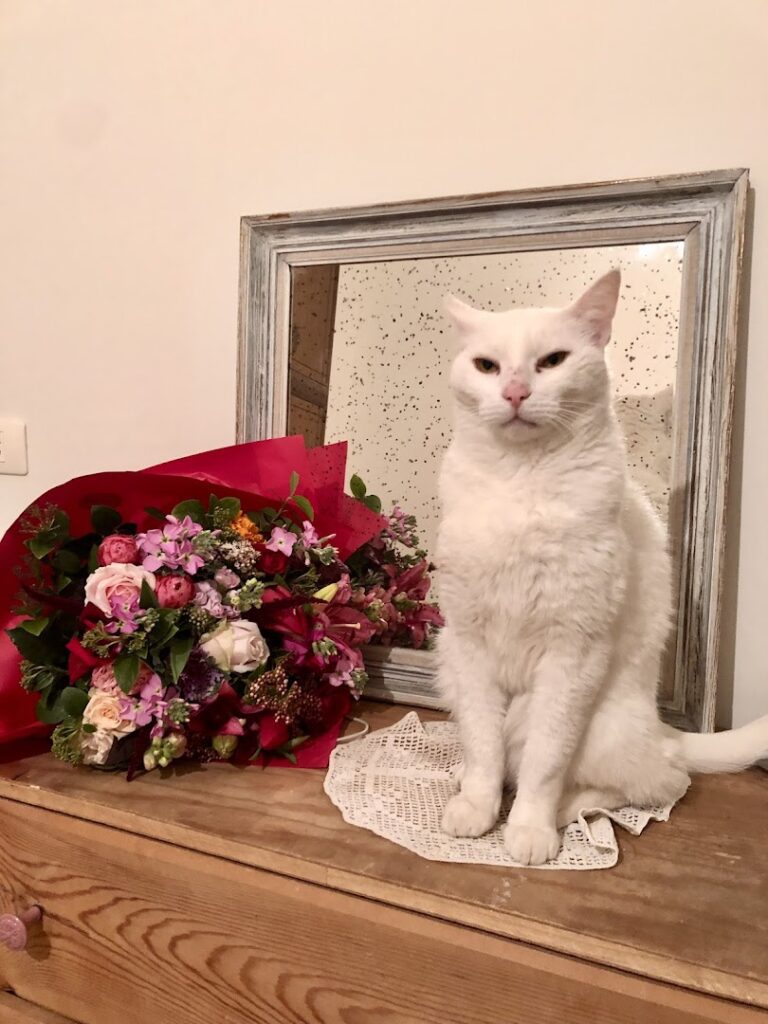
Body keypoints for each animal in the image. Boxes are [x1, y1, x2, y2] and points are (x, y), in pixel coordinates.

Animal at [436, 270, 768, 864]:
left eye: (552, 361)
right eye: (487, 366)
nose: (515, 391)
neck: (520, 481)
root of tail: (663, 729)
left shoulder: (574, 651)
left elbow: (546, 761)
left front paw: (528, 829)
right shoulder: (468, 645)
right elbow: (482, 746)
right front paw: (476, 806)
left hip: (601, 725)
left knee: (662, 783)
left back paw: (570, 809)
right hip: (445, 667)